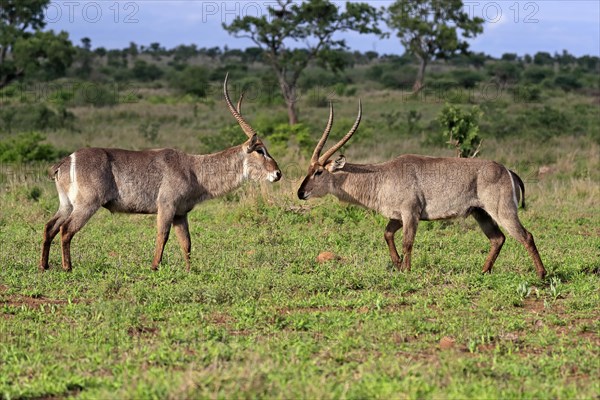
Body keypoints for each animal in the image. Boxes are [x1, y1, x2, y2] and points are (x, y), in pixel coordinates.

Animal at [41, 75, 282, 272]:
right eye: (260, 150)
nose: (278, 173)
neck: (194, 169)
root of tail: (66, 160)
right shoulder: (166, 205)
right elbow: (162, 236)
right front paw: (155, 267)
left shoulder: (181, 213)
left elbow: (186, 242)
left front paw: (190, 270)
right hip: (87, 204)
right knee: (65, 229)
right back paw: (67, 267)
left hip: (66, 204)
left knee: (50, 226)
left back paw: (44, 266)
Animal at [298, 101, 548, 278]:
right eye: (308, 169)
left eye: (318, 172)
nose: (301, 193)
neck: (380, 175)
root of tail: (507, 169)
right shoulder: (397, 216)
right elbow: (387, 234)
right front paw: (398, 264)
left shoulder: (411, 213)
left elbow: (408, 241)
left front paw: (406, 271)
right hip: (481, 213)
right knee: (498, 239)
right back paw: (484, 271)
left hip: (502, 211)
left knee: (525, 236)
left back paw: (541, 275)